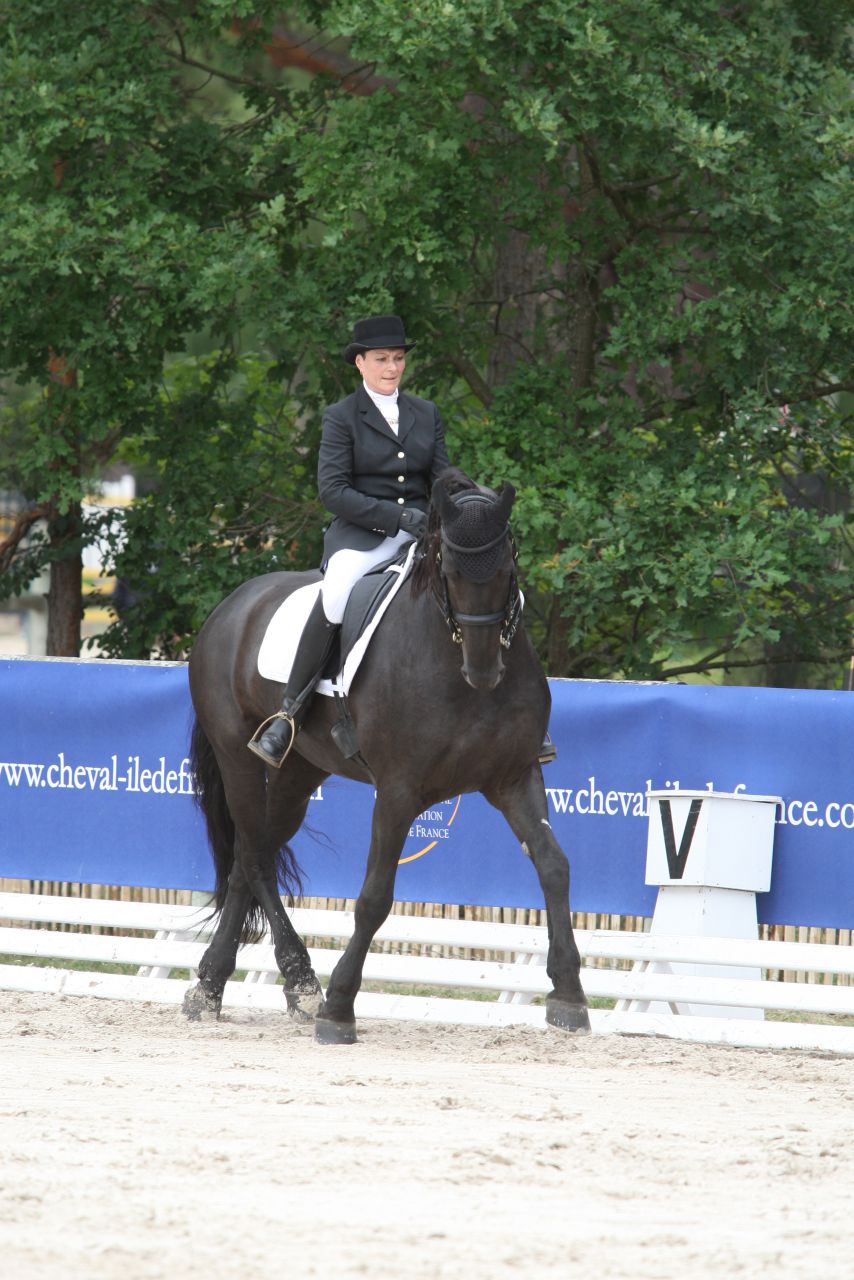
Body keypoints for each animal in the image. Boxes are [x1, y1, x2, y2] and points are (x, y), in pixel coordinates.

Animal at [183, 468, 590, 1043]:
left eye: (508, 568)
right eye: (449, 570)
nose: (484, 671)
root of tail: (234, 604)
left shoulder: (514, 777)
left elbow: (554, 865)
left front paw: (569, 995)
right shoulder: (398, 791)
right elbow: (375, 896)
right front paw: (339, 1009)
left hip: (300, 771)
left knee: (247, 857)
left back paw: (219, 986)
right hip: (238, 755)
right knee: (256, 856)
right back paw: (297, 982)